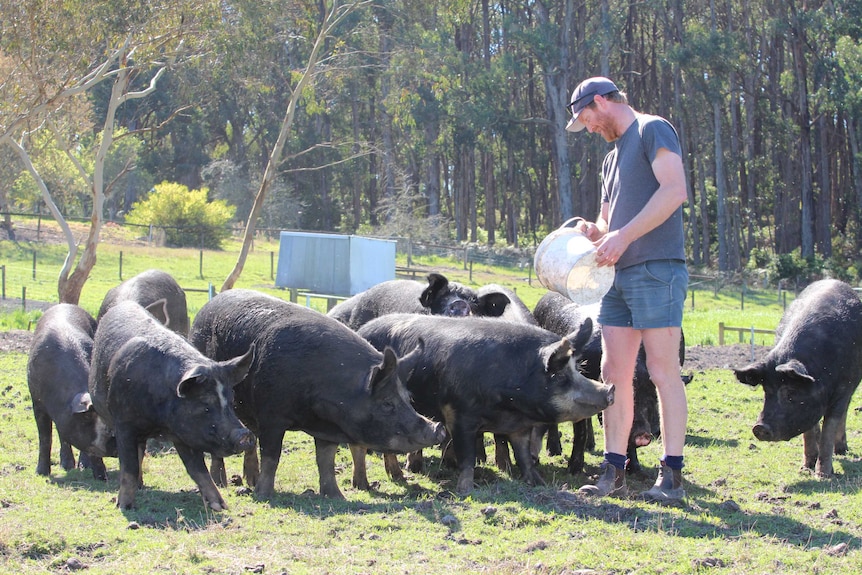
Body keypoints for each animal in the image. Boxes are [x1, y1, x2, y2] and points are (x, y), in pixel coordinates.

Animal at [27, 306, 115, 482]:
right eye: (105, 429)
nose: (116, 446)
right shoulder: (37, 401)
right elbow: (45, 437)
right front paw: (41, 473)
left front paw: (99, 475)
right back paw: (66, 466)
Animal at [89, 300, 255, 510]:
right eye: (205, 405)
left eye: (231, 401)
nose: (244, 434)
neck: (160, 421)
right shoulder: (123, 423)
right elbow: (128, 466)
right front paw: (124, 506)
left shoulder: (184, 433)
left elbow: (197, 470)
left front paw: (220, 506)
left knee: (141, 450)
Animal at [736, 280, 862, 476]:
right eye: (766, 391)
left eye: (791, 392)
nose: (759, 427)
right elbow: (809, 431)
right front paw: (805, 469)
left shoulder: (843, 387)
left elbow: (830, 425)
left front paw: (823, 475)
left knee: (844, 412)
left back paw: (842, 451)